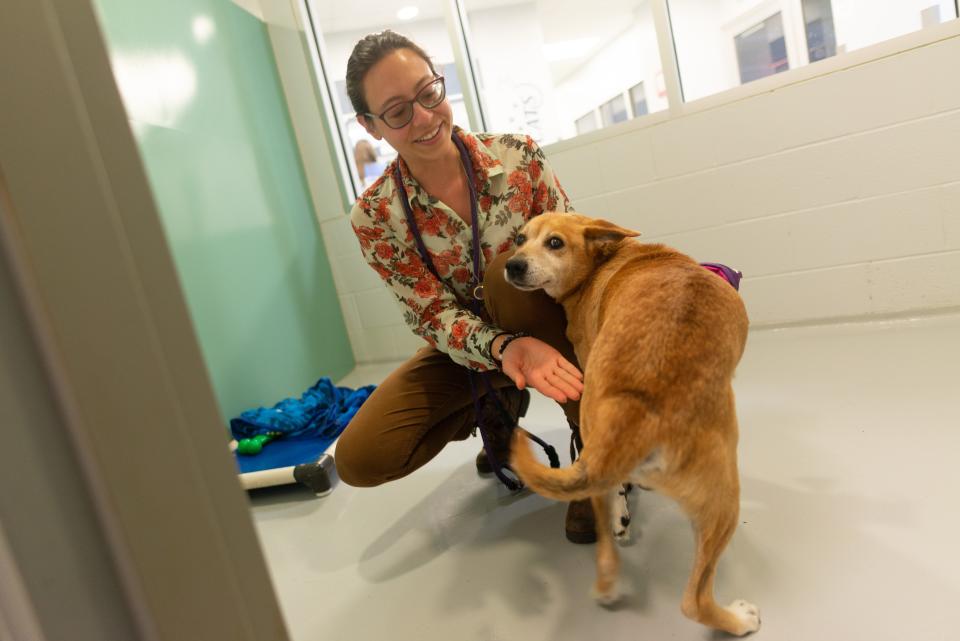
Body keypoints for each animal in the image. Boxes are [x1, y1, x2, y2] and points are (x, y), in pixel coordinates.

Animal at [506, 212, 760, 632]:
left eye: (554, 242)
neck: (609, 260)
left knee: (607, 552)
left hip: (594, 462)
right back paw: (738, 619)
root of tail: (635, 411)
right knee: (694, 601)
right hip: (723, 501)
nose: (512, 264)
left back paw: (610, 579)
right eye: (521, 239)